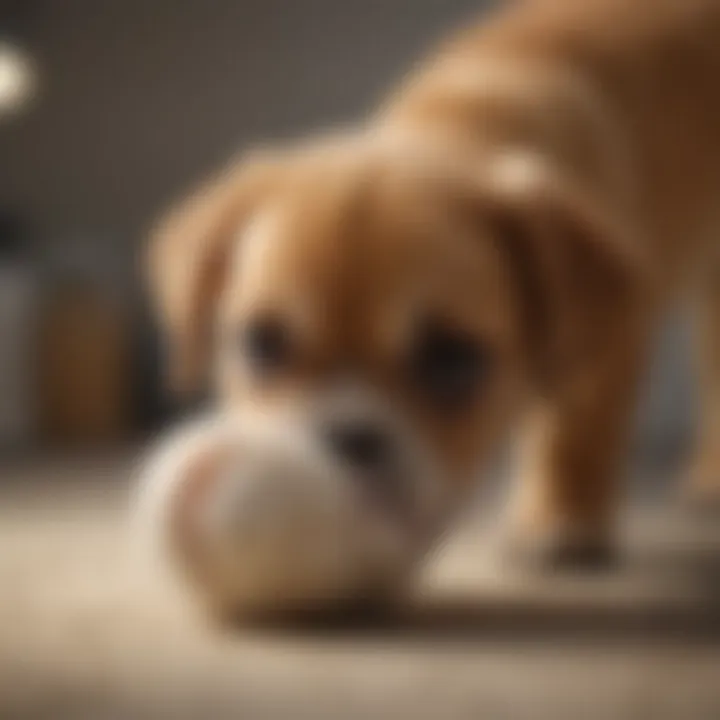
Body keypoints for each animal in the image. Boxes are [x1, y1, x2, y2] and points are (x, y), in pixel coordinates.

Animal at [148, 0, 720, 572]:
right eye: (262, 344)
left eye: (451, 356)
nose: (344, 440)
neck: (458, 125)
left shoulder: (601, 351)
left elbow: (575, 432)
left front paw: (561, 521)